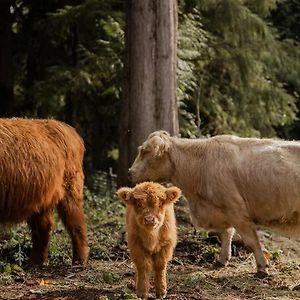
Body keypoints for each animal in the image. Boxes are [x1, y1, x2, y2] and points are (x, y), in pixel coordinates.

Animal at [0, 118, 88, 266]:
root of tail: (69, 129)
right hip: (41, 197)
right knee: (43, 227)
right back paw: (36, 262)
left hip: (71, 188)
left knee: (76, 223)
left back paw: (79, 261)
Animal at [130, 131, 300, 276]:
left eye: (145, 151)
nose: (130, 172)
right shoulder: (221, 210)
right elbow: (225, 234)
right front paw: (222, 260)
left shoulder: (236, 210)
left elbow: (251, 242)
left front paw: (262, 268)